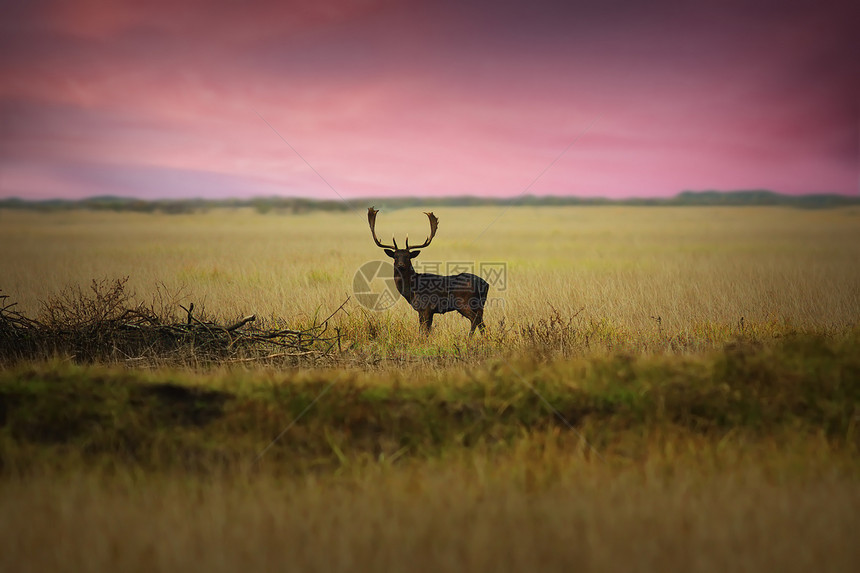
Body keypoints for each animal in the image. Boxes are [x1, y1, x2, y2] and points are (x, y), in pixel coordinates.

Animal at [366, 207, 488, 336]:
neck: (411, 290)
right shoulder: (429, 311)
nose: (401, 265)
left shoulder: (425, 307)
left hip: (464, 302)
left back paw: (469, 338)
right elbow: (427, 330)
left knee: (475, 320)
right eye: (395, 257)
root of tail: (485, 284)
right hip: (479, 305)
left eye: (408, 257)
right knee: (482, 323)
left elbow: (423, 331)